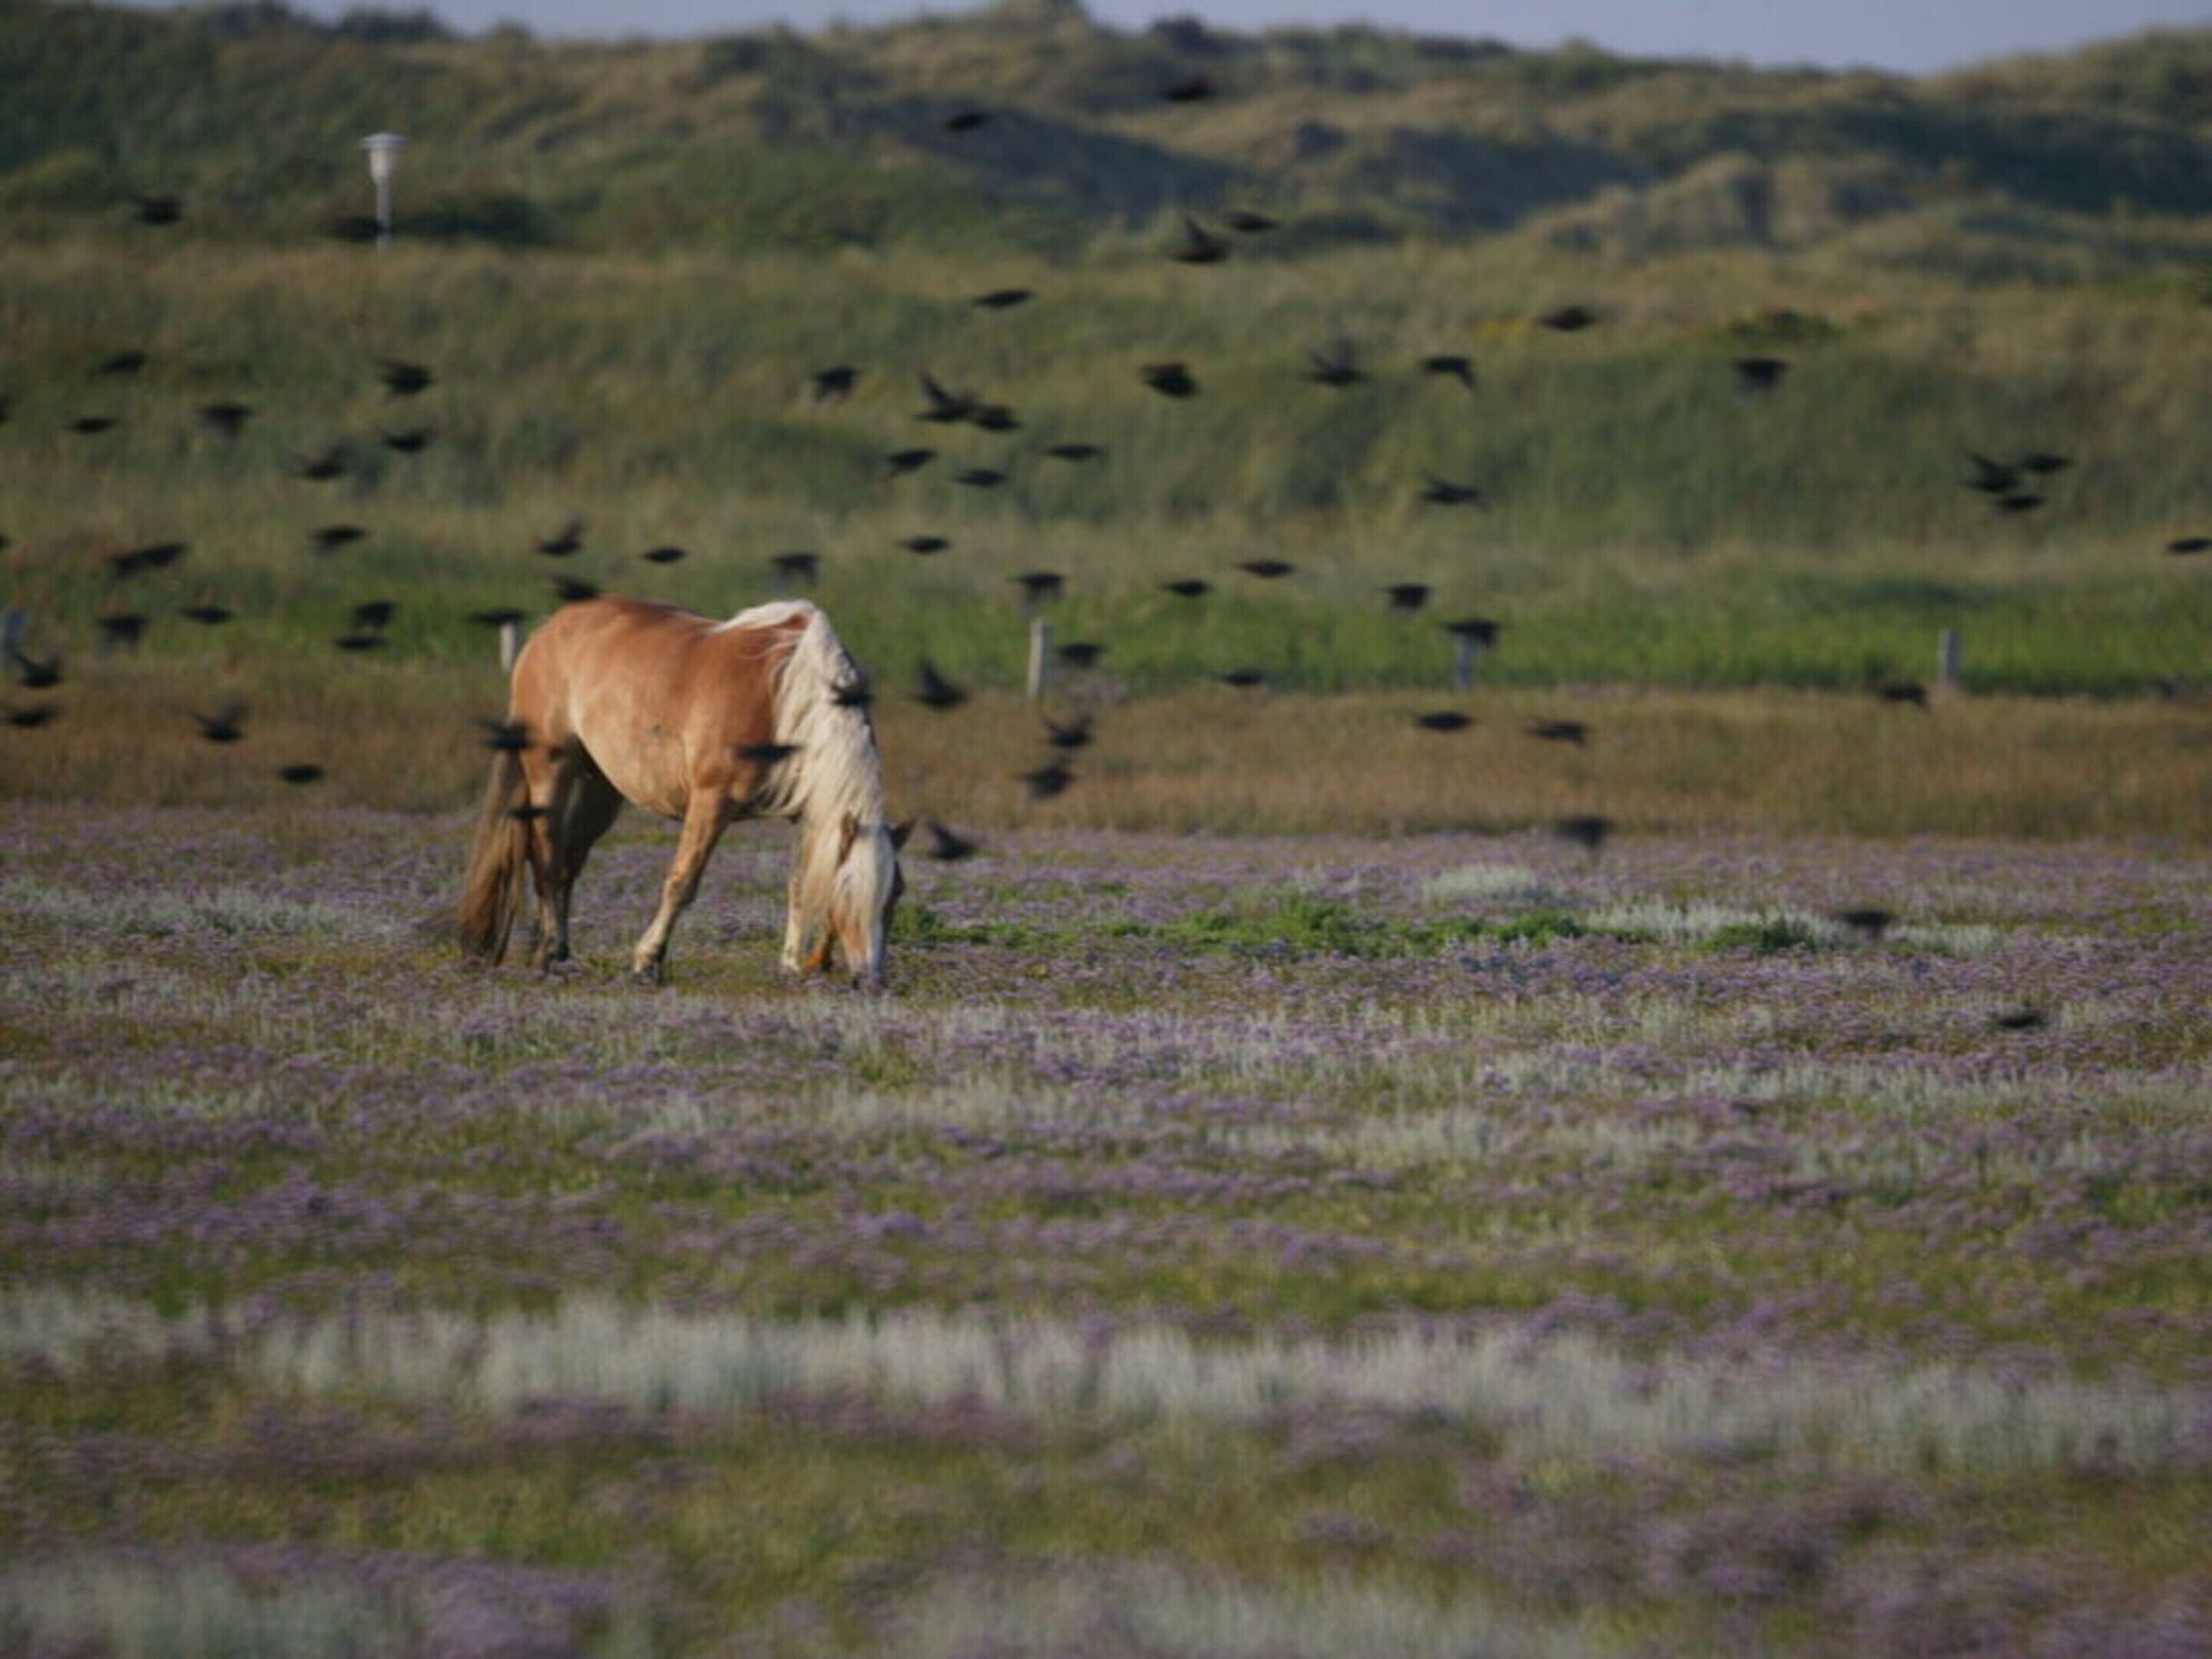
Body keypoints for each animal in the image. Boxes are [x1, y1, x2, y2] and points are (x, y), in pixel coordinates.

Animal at [456, 596, 910, 988]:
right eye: (851, 888)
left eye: (896, 893)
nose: (871, 979)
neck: (785, 694)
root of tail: (548, 631)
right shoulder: (712, 801)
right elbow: (682, 882)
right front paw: (647, 961)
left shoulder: (807, 814)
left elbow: (799, 884)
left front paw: (793, 966)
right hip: (550, 770)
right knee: (546, 856)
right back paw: (549, 953)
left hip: (601, 790)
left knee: (569, 861)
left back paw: (562, 953)